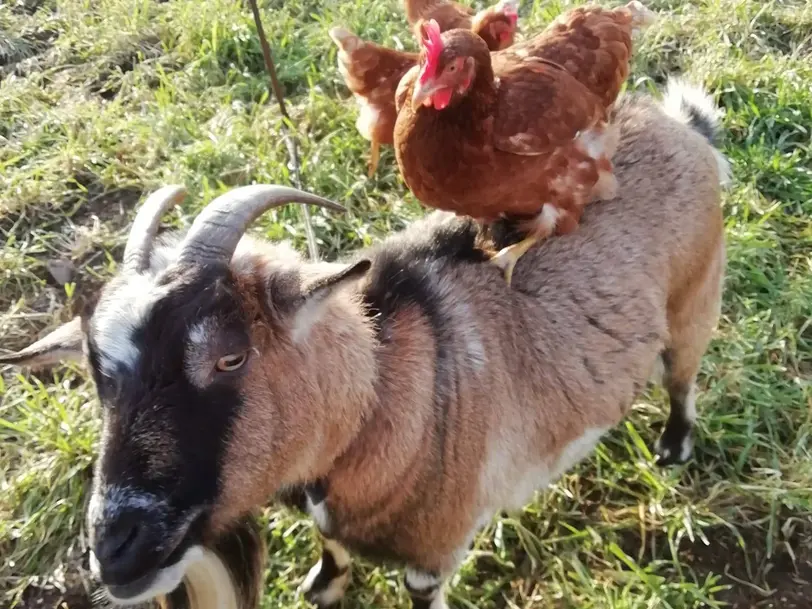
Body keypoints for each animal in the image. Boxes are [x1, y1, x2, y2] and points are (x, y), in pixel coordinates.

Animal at [0, 77, 728, 608]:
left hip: (696, 297)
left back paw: (673, 445)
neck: (383, 395)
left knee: (683, 376)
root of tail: (681, 124)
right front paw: (323, 584)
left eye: (230, 355)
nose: (114, 547)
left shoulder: (435, 550)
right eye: (97, 373)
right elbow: (331, 547)